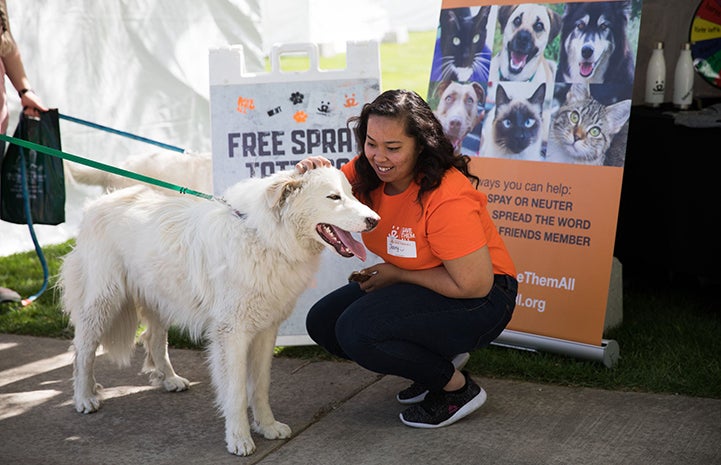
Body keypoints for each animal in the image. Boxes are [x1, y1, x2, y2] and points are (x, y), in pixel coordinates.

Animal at [59, 165, 380, 454]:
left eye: (351, 194)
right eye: (333, 197)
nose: (374, 220)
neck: (266, 238)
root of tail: (98, 203)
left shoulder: (266, 331)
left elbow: (260, 386)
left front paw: (267, 426)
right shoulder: (232, 334)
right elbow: (236, 392)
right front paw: (239, 440)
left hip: (160, 298)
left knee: (153, 339)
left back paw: (170, 380)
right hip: (103, 301)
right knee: (83, 349)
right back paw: (84, 397)